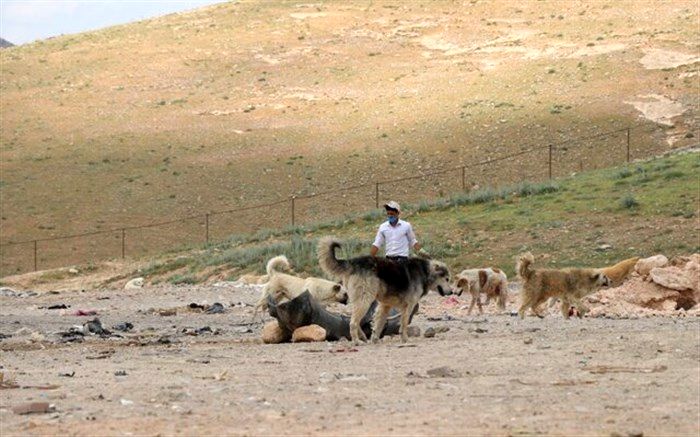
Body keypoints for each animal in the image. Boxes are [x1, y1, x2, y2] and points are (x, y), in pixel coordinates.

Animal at [318, 235, 454, 344]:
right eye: (447, 279)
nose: (452, 292)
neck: (425, 272)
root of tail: (353, 262)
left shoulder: (385, 305)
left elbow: (379, 324)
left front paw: (375, 339)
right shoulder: (408, 306)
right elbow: (404, 324)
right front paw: (405, 339)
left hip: (361, 300)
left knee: (354, 320)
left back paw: (363, 337)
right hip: (365, 299)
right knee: (353, 322)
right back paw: (356, 341)